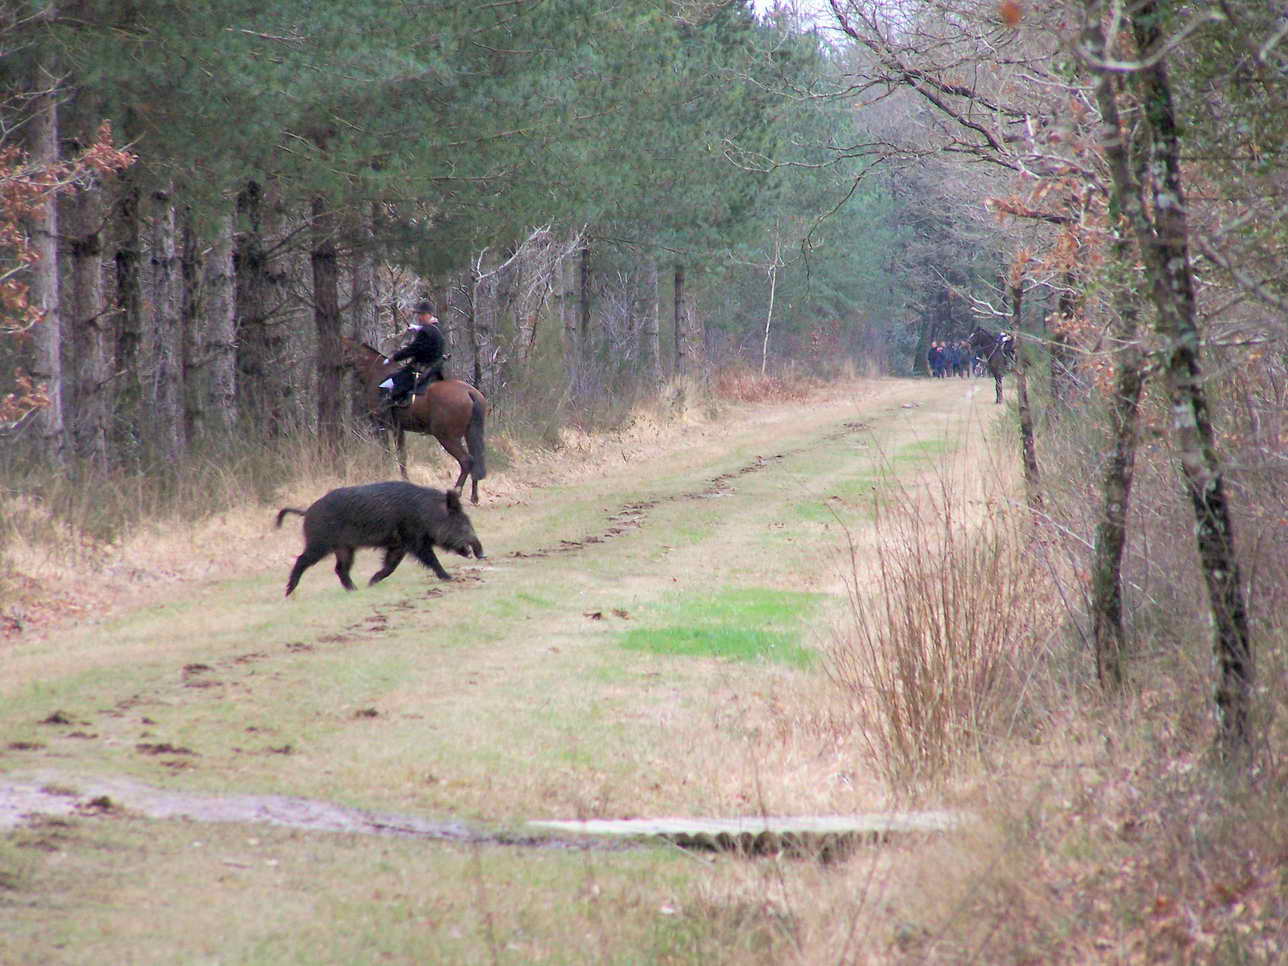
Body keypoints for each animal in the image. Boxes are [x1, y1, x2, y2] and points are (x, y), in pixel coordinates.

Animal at [340, 340, 489, 507]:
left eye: (342, 348)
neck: (376, 373)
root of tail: (470, 393)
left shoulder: (383, 426)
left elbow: (387, 452)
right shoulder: (399, 429)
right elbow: (401, 454)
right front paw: (404, 479)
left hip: (447, 437)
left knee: (466, 460)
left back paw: (456, 492)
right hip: (469, 434)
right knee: (475, 459)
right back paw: (474, 497)